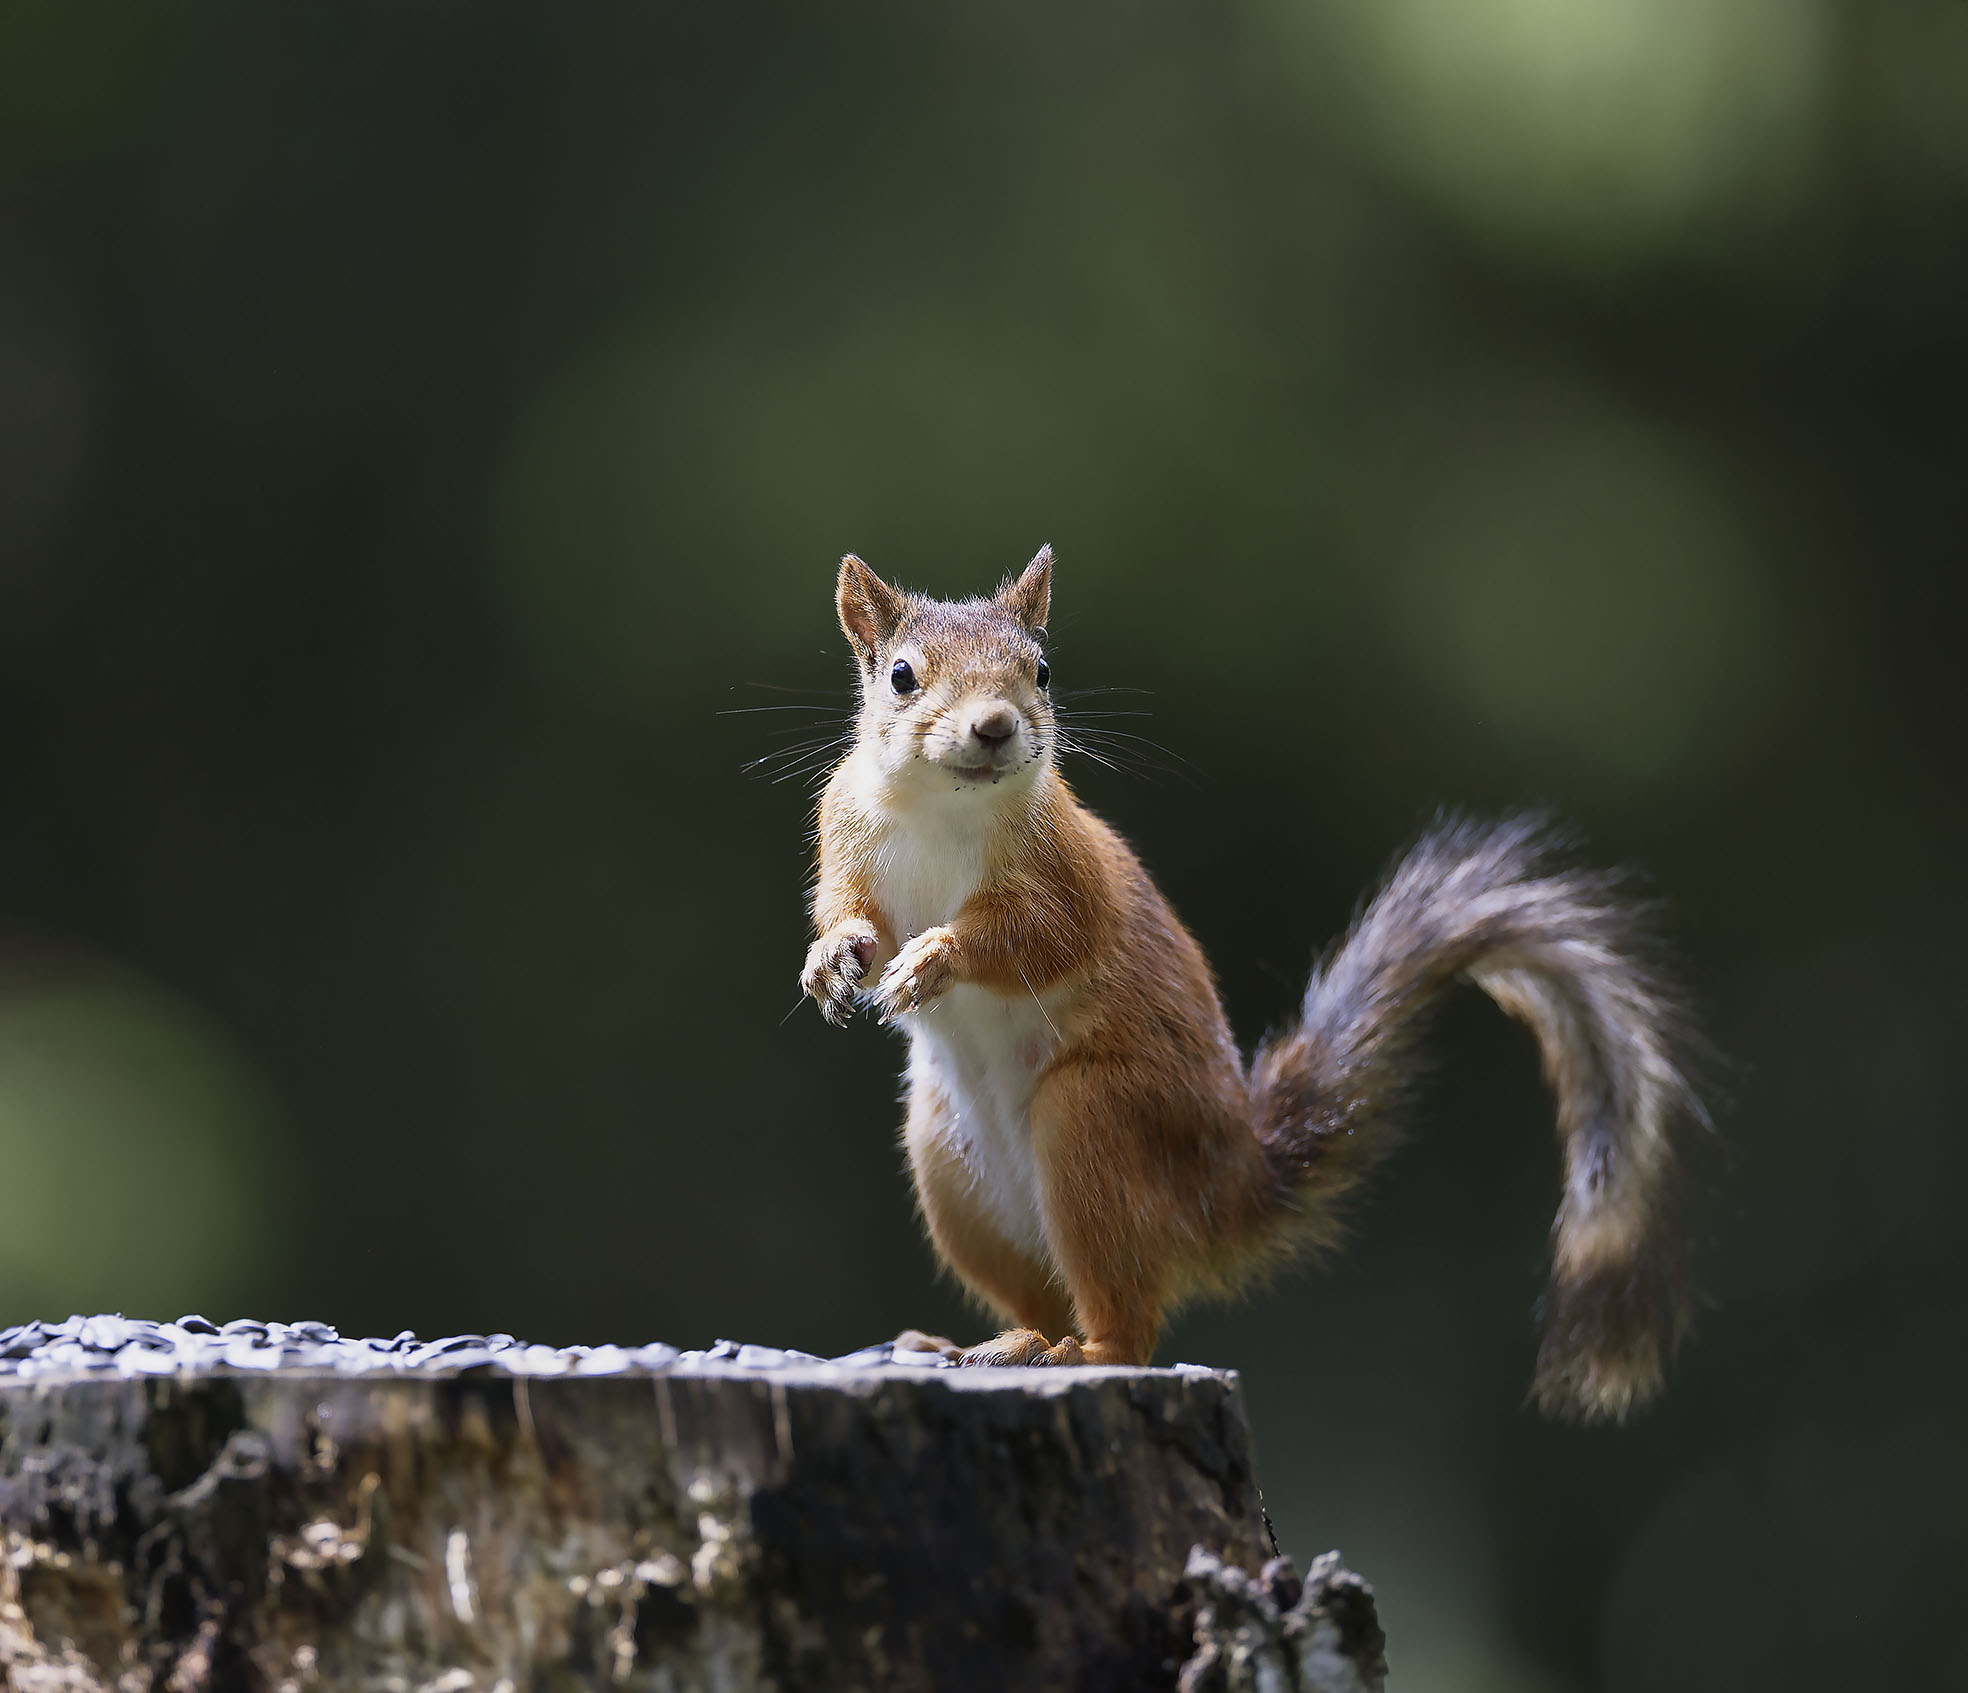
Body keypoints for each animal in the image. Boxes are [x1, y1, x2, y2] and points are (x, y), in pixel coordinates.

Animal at [800, 546, 1703, 1419]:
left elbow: (1042, 937)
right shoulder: (847, 834)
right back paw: (985, 1343)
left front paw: (937, 957)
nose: (994, 726)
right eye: (902, 675)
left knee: (1127, 1326)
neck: (942, 806)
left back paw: (1073, 1353)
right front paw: (831, 960)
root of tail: (1226, 1192)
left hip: (1096, 1119)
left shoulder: (1067, 874)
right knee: (1042, 1296)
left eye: (1042, 670)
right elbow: (851, 912)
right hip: (949, 1162)